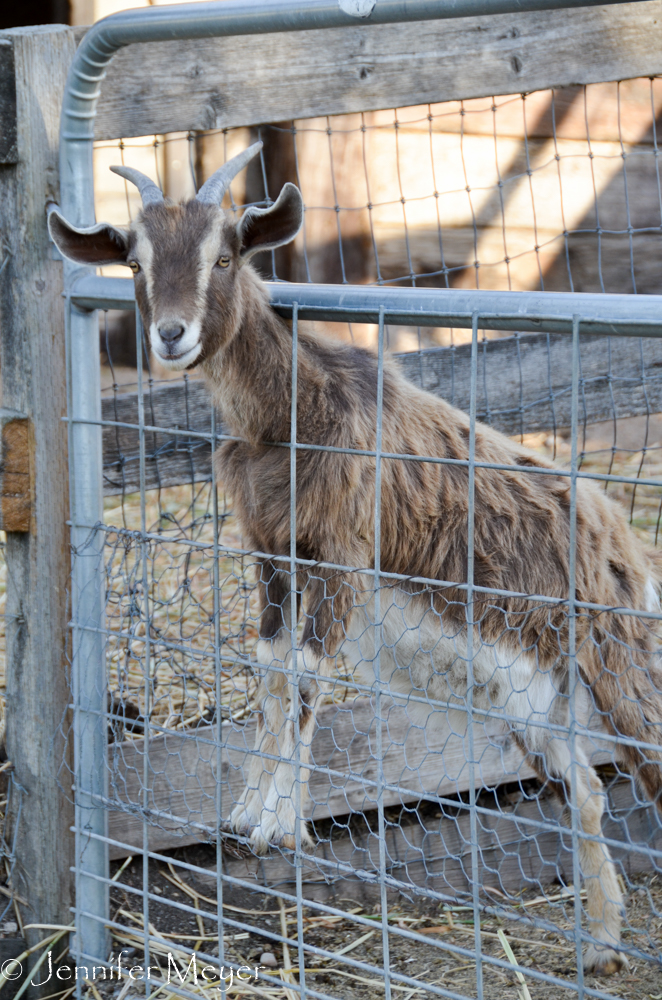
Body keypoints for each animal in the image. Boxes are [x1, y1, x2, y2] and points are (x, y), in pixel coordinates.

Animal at [50, 142, 662, 976]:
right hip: (528, 699)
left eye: (225, 255)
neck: (288, 417)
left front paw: (279, 822)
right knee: (587, 792)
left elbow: (309, 672)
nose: (172, 335)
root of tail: (621, 537)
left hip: (618, 659)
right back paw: (599, 943)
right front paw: (245, 808)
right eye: (135, 261)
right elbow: (271, 665)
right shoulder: (271, 553)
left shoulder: (343, 553)